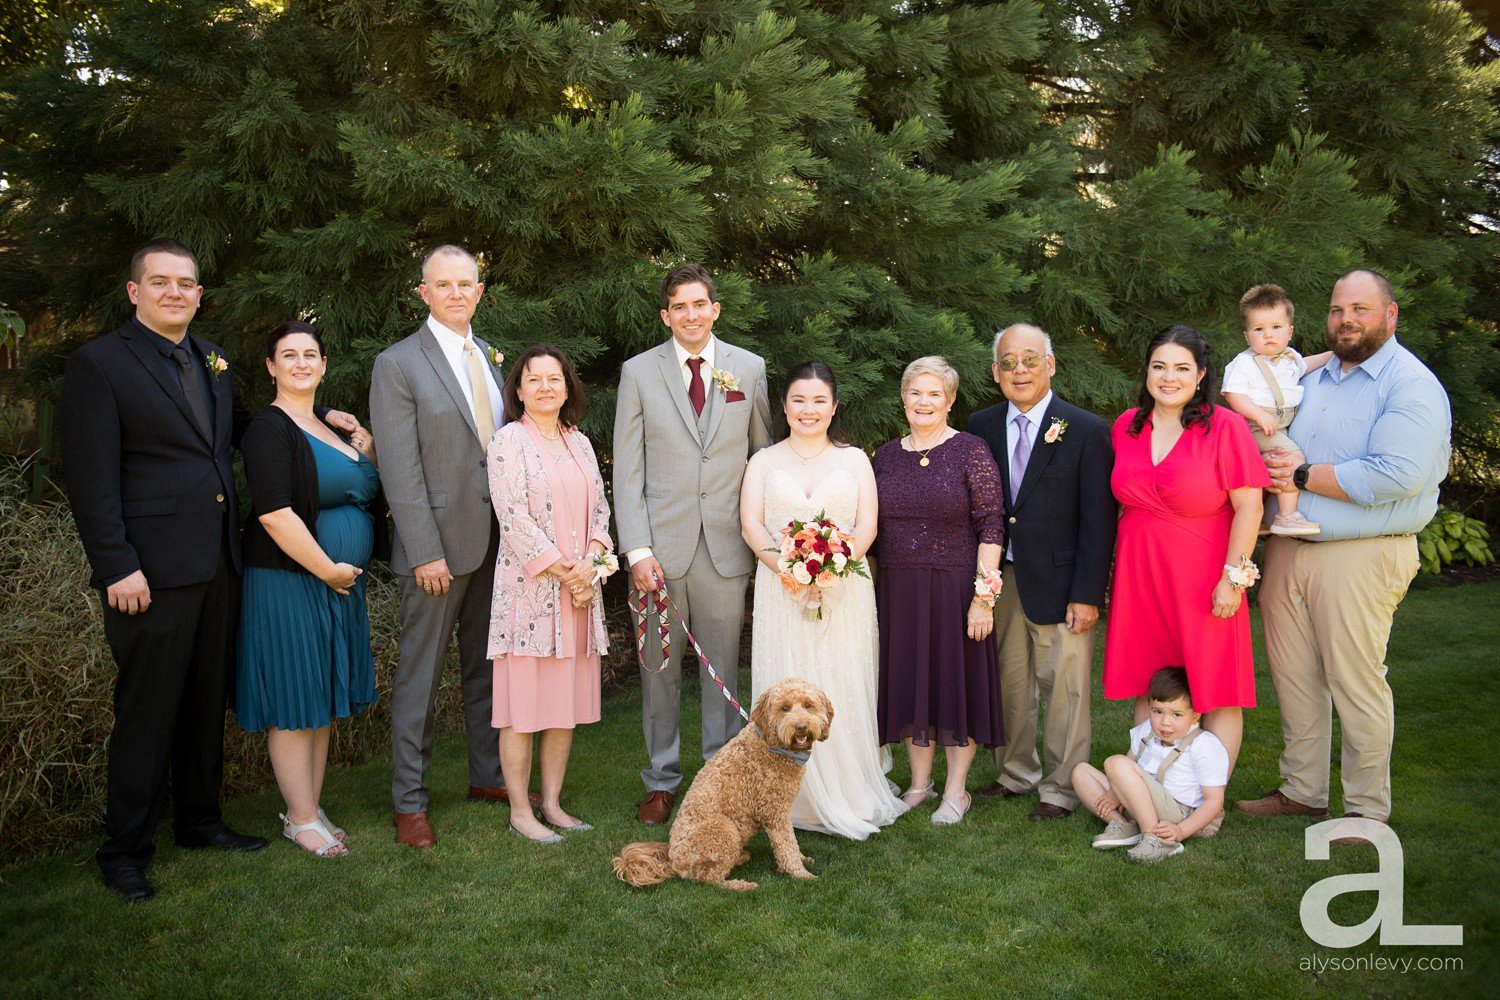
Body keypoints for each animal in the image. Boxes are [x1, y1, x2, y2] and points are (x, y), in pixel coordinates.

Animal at [615, 680, 840, 893]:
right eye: (784, 708)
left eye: (808, 705)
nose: (801, 726)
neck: (773, 746)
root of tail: (672, 861)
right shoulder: (774, 811)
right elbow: (787, 844)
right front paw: (800, 873)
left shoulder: (780, 811)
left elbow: (790, 841)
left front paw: (802, 859)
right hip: (722, 828)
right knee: (709, 880)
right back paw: (740, 885)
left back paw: (740, 857)